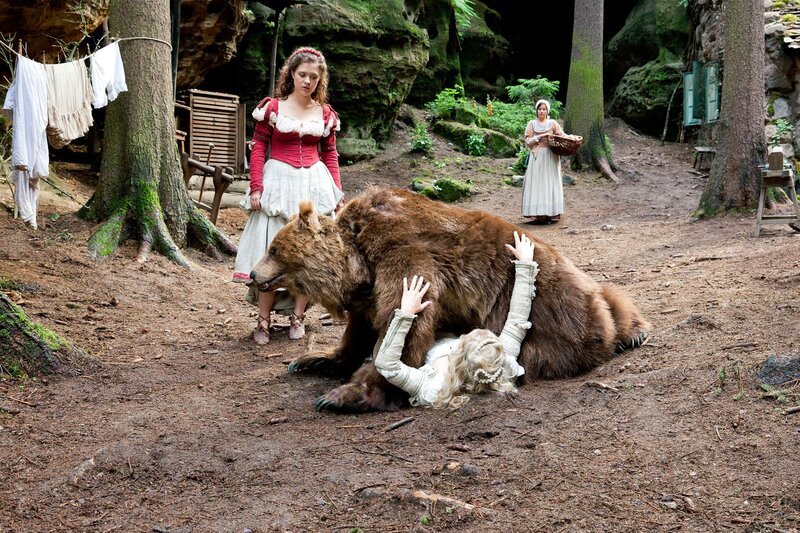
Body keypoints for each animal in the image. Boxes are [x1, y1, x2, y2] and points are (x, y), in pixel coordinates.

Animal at [250, 187, 650, 412]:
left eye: (273, 248)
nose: (253, 273)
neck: (360, 260)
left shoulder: (403, 255)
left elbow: (405, 323)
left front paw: (344, 394)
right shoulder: (366, 295)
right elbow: (359, 331)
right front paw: (311, 360)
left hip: (555, 314)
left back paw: (630, 334)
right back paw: (633, 331)